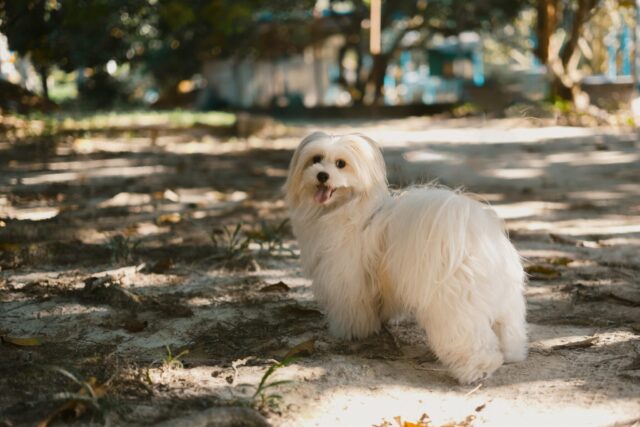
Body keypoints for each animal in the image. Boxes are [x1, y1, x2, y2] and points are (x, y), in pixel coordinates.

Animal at [284, 131, 524, 384]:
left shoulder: (346, 280)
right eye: (316, 159)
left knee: (470, 337)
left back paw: (478, 369)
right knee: (508, 325)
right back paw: (512, 353)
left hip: (455, 305)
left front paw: (351, 332)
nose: (322, 175)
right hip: (505, 298)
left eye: (341, 163)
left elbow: (352, 309)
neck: (345, 208)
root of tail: (473, 228)